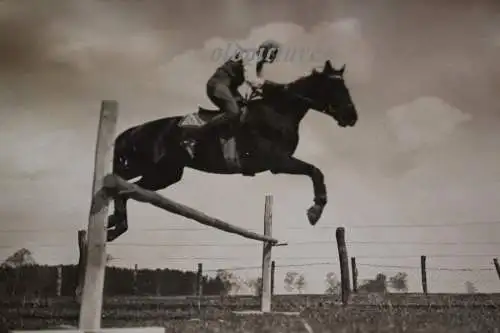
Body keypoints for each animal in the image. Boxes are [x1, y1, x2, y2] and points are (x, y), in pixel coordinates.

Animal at [107, 59, 360, 240]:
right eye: (335, 87)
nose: (352, 116)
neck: (279, 111)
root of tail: (134, 130)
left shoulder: (279, 162)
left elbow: (315, 171)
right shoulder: (277, 161)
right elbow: (315, 171)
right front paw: (315, 210)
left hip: (164, 174)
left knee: (128, 190)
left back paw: (115, 222)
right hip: (143, 165)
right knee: (117, 180)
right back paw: (115, 220)